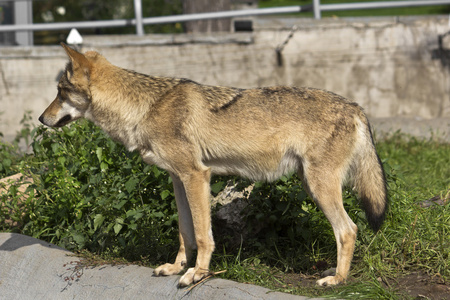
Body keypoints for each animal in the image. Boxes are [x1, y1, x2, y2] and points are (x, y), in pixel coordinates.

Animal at [39, 43, 386, 288]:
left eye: (59, 92)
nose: (42, 119)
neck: (144, 109)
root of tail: (356, 107)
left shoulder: (197, 176)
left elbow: (204, 234)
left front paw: (197, 273)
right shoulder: (178, 180)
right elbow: (184, 232)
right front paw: (176, 267)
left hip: (319, 186)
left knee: (349, 230)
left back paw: (337, 279)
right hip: (311, 183)